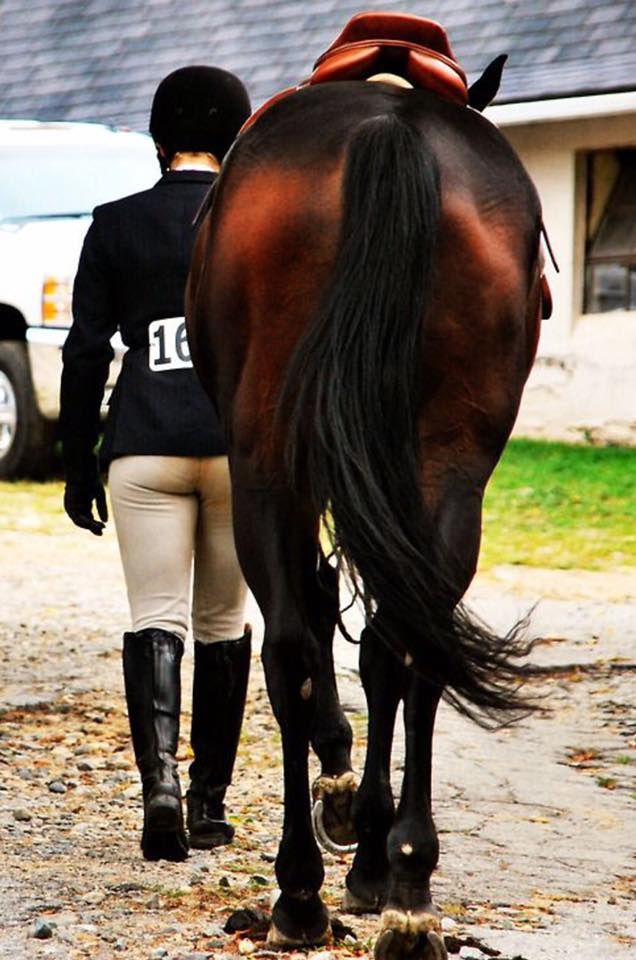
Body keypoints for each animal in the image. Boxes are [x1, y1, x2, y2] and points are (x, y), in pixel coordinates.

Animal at [185, 15, 548, 960]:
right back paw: (400, 880)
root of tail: (390, 128)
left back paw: (311, 887)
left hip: (267, 463)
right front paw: (370, 835)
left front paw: (348, 808)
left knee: (301, 649)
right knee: (400, 641)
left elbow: (320, 612)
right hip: (447, 466)